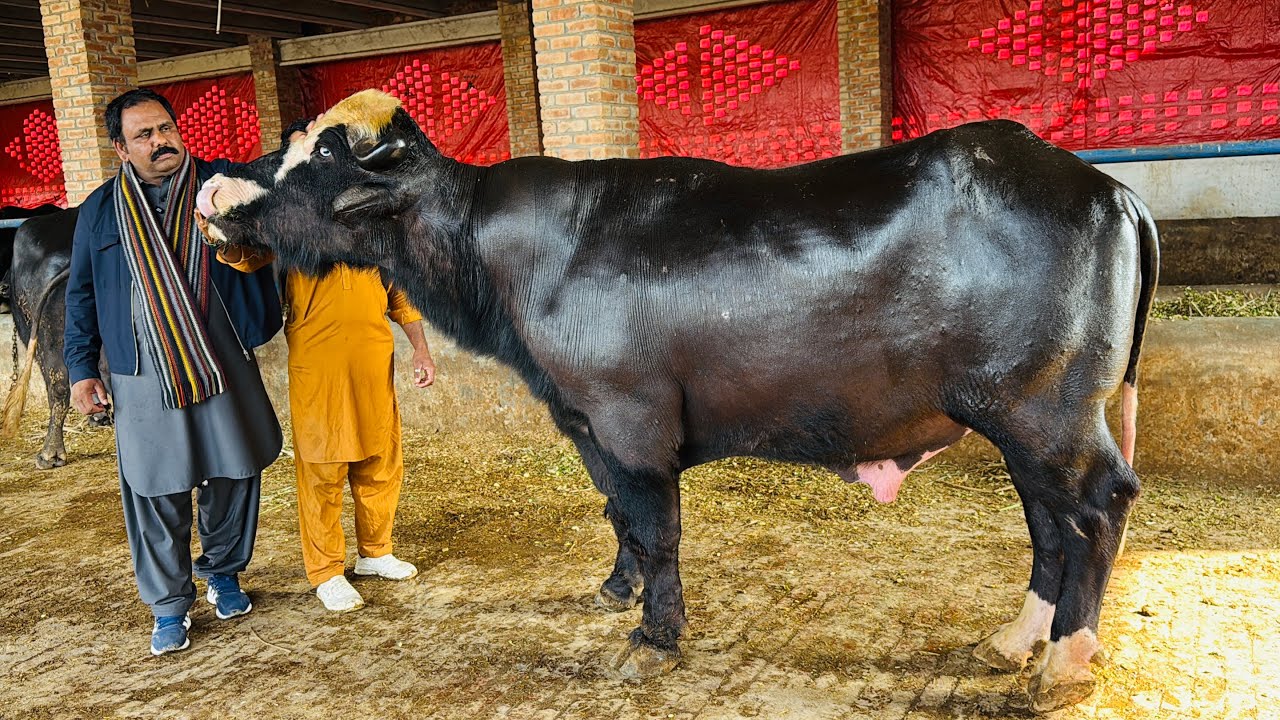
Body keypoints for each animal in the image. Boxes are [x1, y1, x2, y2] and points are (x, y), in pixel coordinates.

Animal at [196, 90, 1158, 712]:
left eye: (323, 157)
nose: (212, 188)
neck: (496, 258)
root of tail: (1104, 188)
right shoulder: (580, 421)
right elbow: (617, 514)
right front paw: (617, 591)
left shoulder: (631, 420)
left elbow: (655, 524)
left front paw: (656, 633)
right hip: (1022, 425)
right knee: (1048, 523)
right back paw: (1016, 639)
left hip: (1047, 414)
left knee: (1097, 507)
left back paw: (1066, 663)